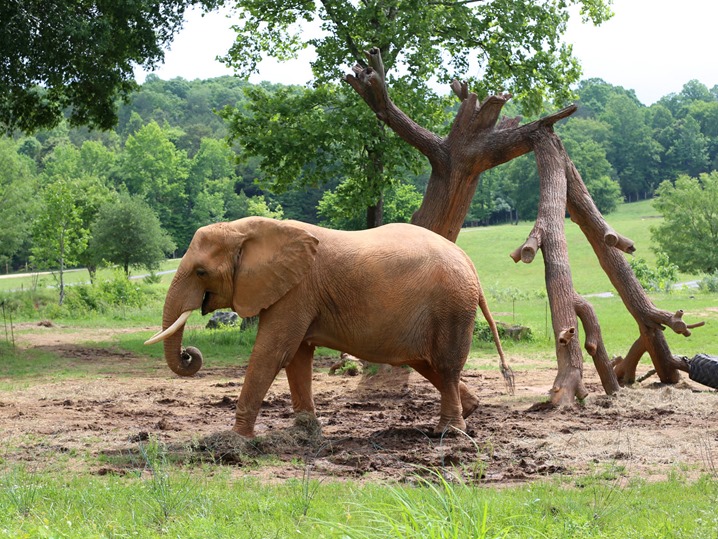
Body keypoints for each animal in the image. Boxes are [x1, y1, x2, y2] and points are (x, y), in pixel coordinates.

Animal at [146, 217, 510, 436]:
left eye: (201, 272)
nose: (189, 354)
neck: (248, 229)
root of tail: (470, 265)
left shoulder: (296, 291)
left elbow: (273, 352)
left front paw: (234, 440)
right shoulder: (294, 292)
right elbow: (297, 357)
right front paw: (305, 431)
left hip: (452, 306)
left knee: (445, 367)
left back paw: (450, 433)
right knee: (426, 363)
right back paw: (469, 411)